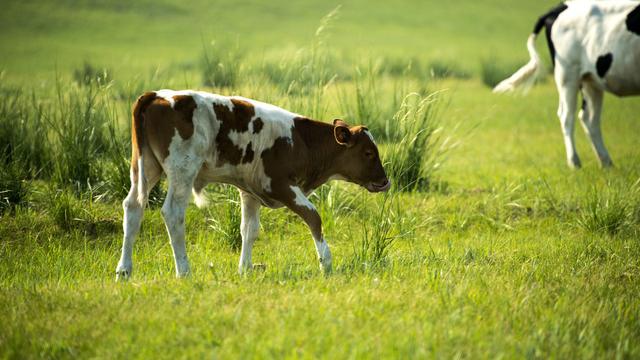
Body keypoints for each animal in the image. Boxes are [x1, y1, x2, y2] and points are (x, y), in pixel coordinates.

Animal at [115, 88, 390, 280]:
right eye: (368, 153)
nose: (385, 182)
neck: (301, 141)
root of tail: (157, 95)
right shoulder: (280, 185)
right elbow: (313, 217)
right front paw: (326, 262)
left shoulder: (250, 192)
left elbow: (249, 229)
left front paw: (245, 268)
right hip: (182, 170)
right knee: (173, 213)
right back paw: (183, 270)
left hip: (145, 167)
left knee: (133, 207)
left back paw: (124, 270)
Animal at [496, 1, 640, 169]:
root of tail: (560, 6)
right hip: (567, 74)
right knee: (567, 115)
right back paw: (575, 162)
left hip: (590, 79)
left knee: (589, 118)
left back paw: (606, 163)